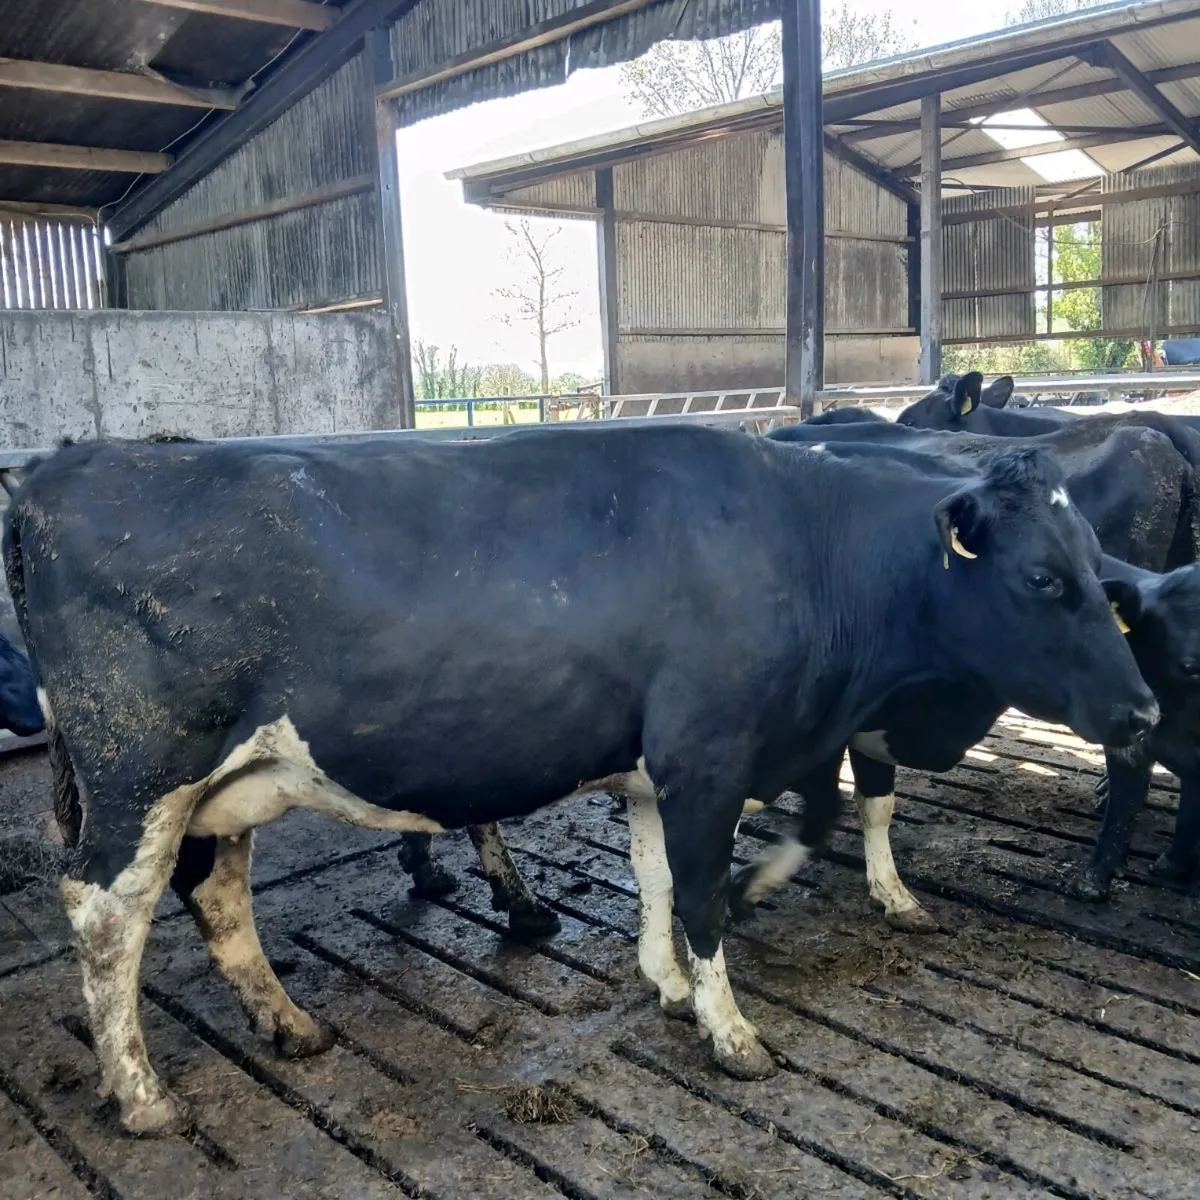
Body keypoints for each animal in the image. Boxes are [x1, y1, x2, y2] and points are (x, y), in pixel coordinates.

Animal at [4, 428, 1155, 1136]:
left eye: (1098, 568)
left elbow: (658, 877)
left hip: (230, 783)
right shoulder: (707, 755)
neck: (809, 550)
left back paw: (289, 1026)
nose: (1143, 712)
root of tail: (68, 465)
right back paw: (142, 1094)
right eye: (1040, 578)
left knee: (218, 892)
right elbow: (707, 891)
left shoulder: (659, 764)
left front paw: (666, 982)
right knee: (106, 913)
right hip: (140, 774)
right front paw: (730, 1028)